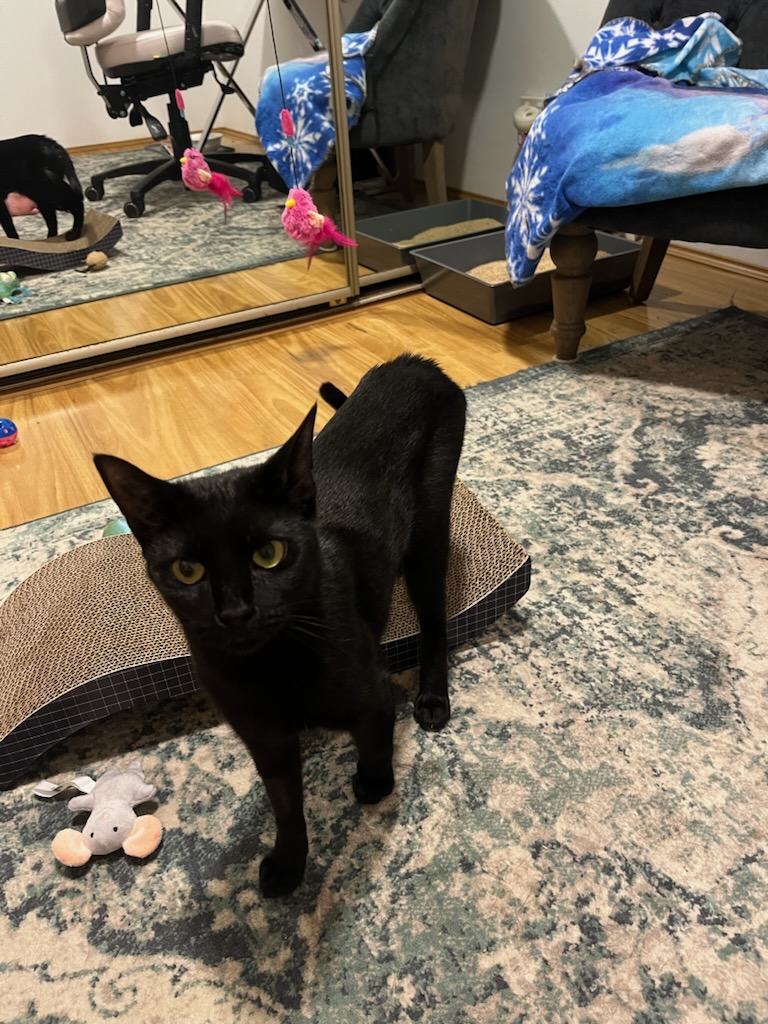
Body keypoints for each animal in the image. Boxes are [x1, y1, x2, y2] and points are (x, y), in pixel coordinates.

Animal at [94, 354, 466, 897]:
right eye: (188, 570)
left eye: (269, 554)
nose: (234, 612)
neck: (273, 666)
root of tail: (417, 364)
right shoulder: (264, 739)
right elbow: (286, 806)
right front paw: (289, 865)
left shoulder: (373, 692)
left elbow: (375, 738)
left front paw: (375, 783)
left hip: (429, 531)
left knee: (436, 622)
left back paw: (433, 700)